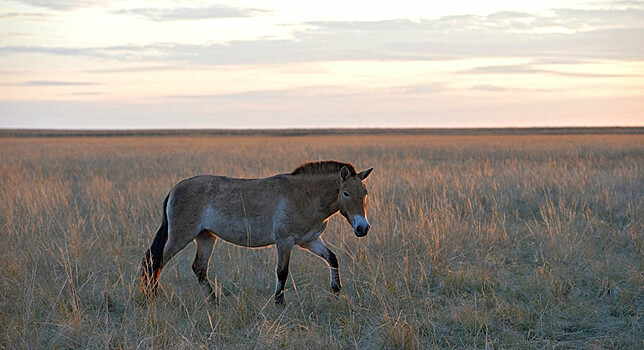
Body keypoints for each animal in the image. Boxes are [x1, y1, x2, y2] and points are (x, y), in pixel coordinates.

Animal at [140, 161, 372, 304]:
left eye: (365, 192)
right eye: (346, 193)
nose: (363, 228)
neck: (303, 196)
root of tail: (174, 189)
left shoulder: (311, 240)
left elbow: (332, 258)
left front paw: (336, 289)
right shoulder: (285, 242)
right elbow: (282, 272)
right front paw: (279, 301)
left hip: (205, 237)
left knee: (199, 268)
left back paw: (214, 301)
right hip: (180, 237)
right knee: (155, 262)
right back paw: (150, 297)